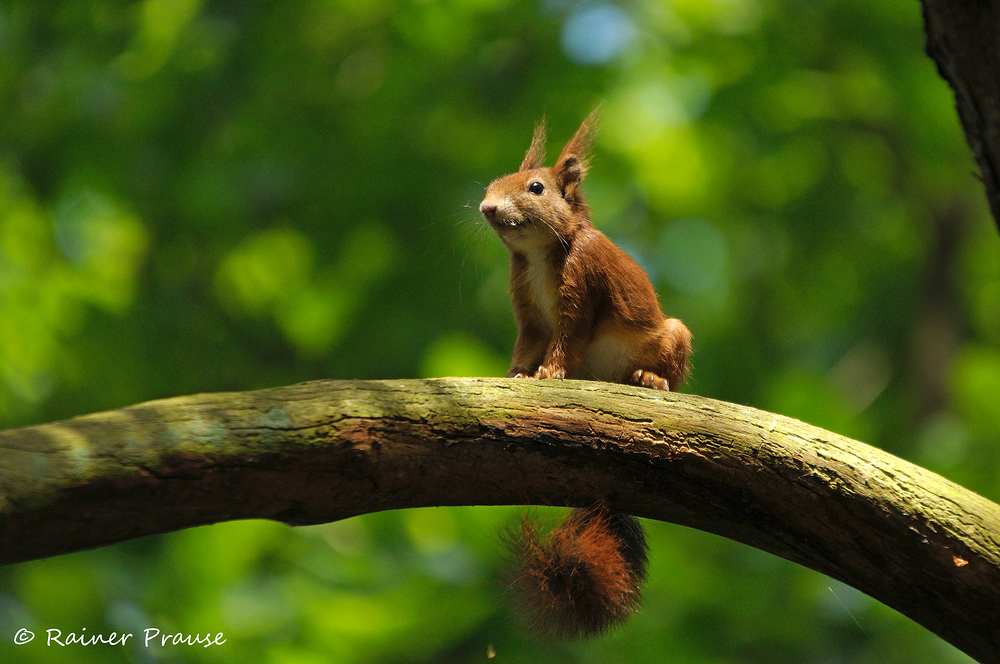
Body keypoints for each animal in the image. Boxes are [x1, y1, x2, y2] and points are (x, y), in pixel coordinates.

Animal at [480, 110, 692, 640]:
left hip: (672, 336)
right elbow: (528, 343)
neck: (539, 254)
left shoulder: (584, 286)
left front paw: (549, 374)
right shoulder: (528, 311)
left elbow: (568, 339)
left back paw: (649, 380)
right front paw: (516, 374)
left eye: (536, 187)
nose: (486, 208)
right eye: (493, 182)